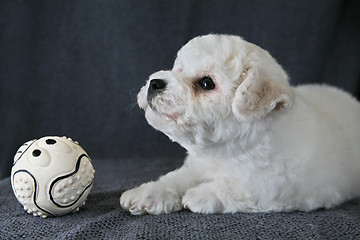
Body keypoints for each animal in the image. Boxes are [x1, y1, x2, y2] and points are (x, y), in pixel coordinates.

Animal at [121, 33, 360, 214]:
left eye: (206, 83)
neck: (226, 152)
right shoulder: (198, 165)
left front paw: (201, 194)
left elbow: (241, 187)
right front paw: (147, 193)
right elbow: (176, 178)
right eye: (177, 69)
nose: (155, 83)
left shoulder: (276, 184)